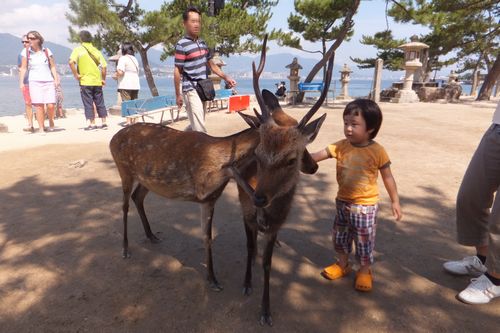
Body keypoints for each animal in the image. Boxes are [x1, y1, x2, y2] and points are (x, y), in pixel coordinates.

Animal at [109, 35, 320, 294]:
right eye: (299, 147)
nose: (313, 166)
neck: (220, 158)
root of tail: (112, 139)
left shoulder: (211, 197)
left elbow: (211, 232)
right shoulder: (203, 192)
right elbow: (207, 237)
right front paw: (213, 278)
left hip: (146, 178)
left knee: (138, 197)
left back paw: (151, 235)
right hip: (123, 169)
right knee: (124, 205)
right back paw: (125, 248)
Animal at [232, 43, 334, 324]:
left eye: (291, 159)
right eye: (257, 154)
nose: (258, 197)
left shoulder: (278, 222)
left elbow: (268, 262)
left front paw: (266, 310)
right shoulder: (245, 213)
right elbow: (249, 246)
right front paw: (246, 283)